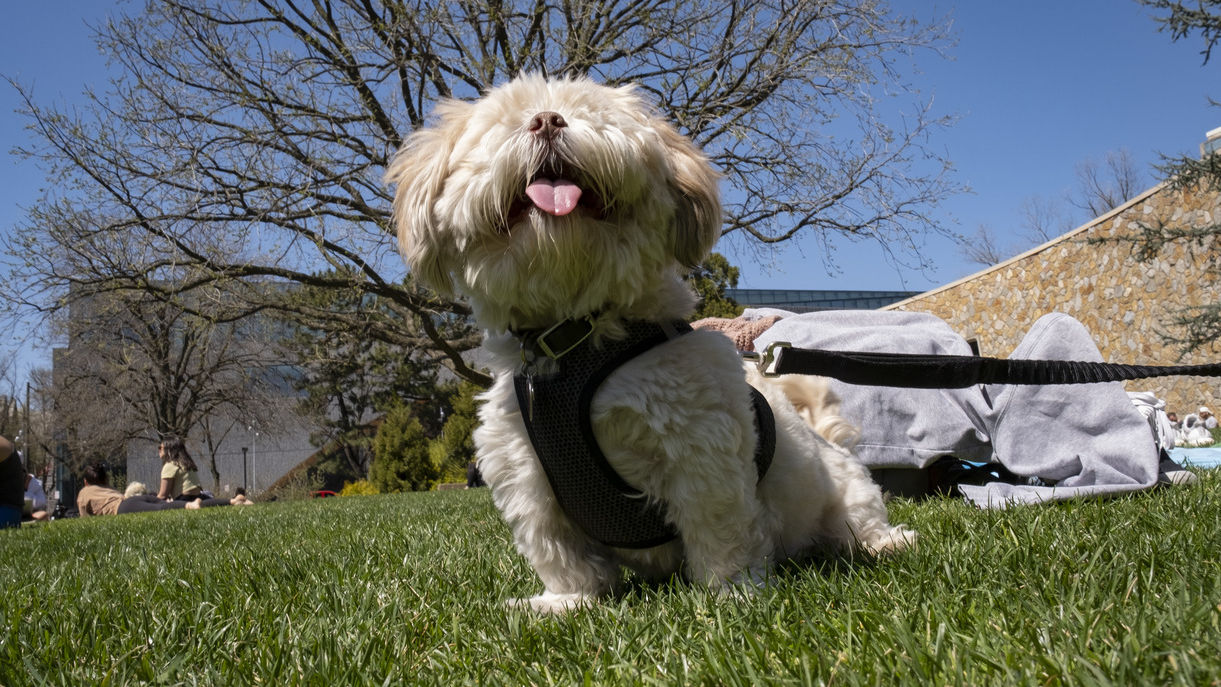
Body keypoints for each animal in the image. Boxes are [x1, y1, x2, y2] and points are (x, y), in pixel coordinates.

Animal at [390, 75, 918, 612]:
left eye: (591, 114)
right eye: (506, 123)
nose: (547, 120)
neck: (574, 341)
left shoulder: (699, 446)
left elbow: (719, 529)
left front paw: (731, 594)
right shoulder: (524, 471)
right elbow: (559, 551)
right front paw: (566, 602)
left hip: (848, 497)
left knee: (859, 525)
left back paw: (888, 543)